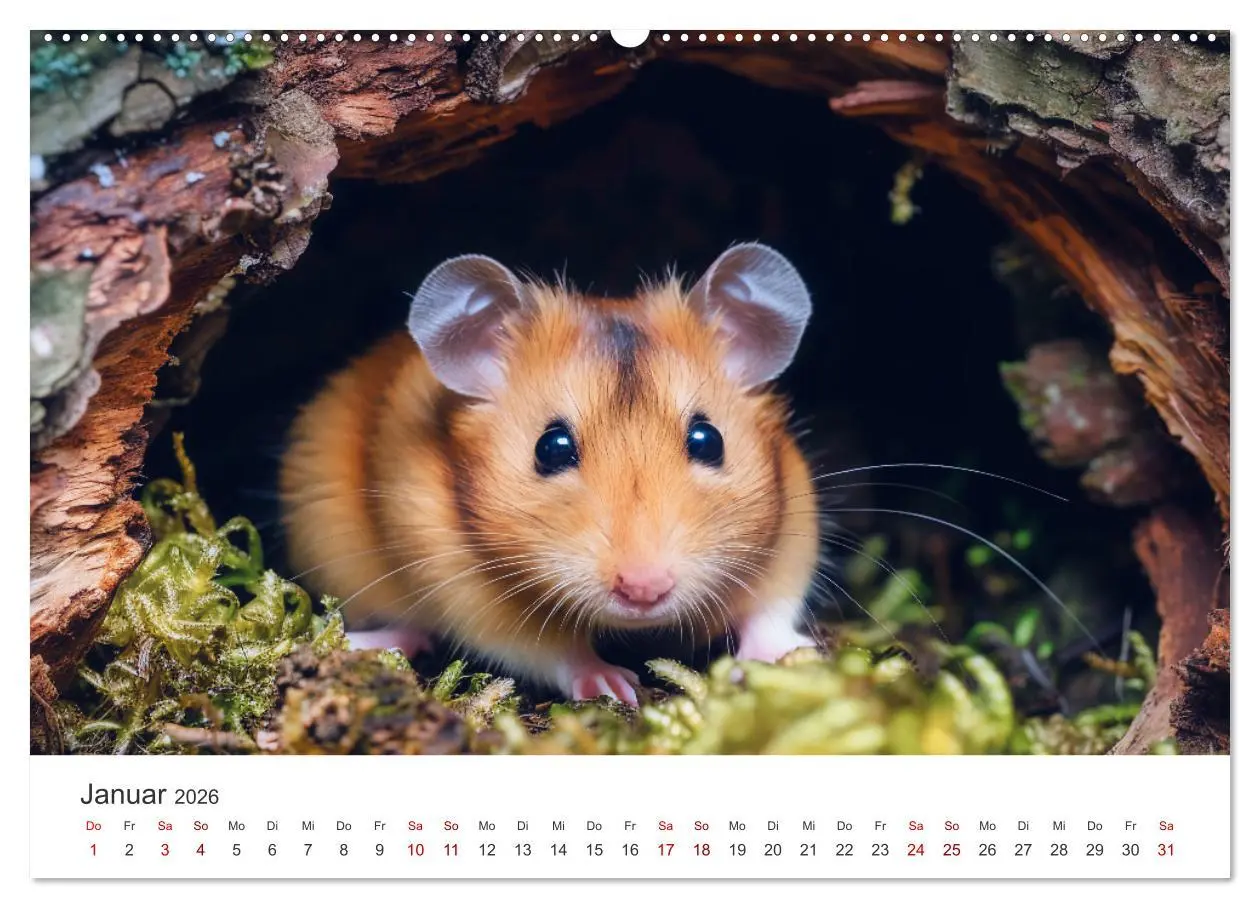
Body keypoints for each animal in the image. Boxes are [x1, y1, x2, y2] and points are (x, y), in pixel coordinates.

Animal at [279, 243, 820, 705]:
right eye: (551, 448)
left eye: (709, 440)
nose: (644, 590)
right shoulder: (469, 592)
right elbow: (553, 649)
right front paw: (613, 685)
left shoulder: (794, 530)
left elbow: (772, 610)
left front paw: (792, 660)